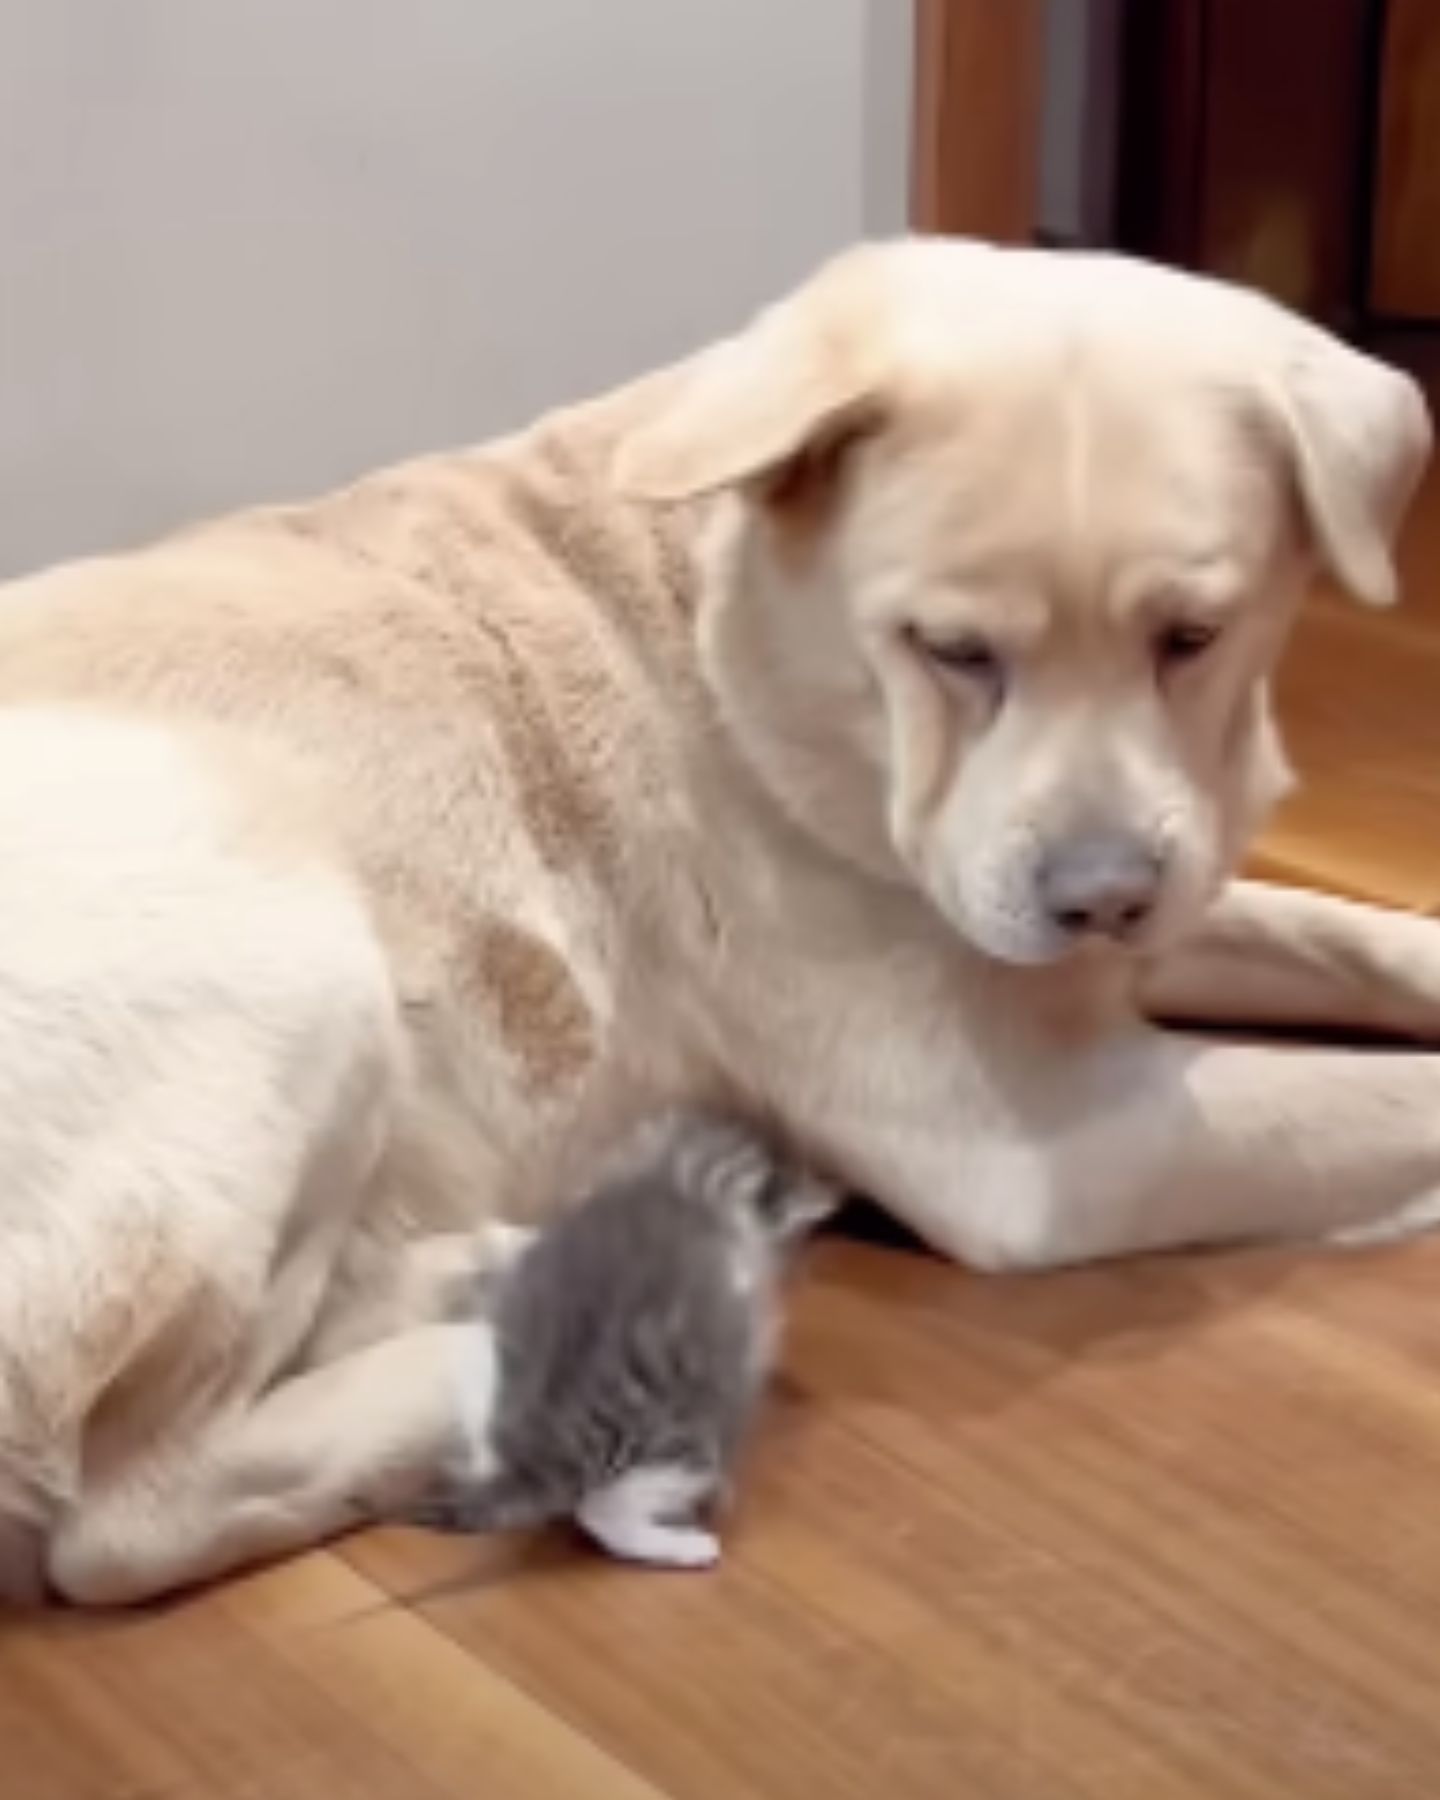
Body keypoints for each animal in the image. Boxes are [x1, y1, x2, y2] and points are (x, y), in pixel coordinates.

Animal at [410, 1101, 831, 1569]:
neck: (681, 1181)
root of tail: (542, 1455)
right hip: (677, 1442)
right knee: (601, 1513)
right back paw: (689, 1546)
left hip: (480, 1360)